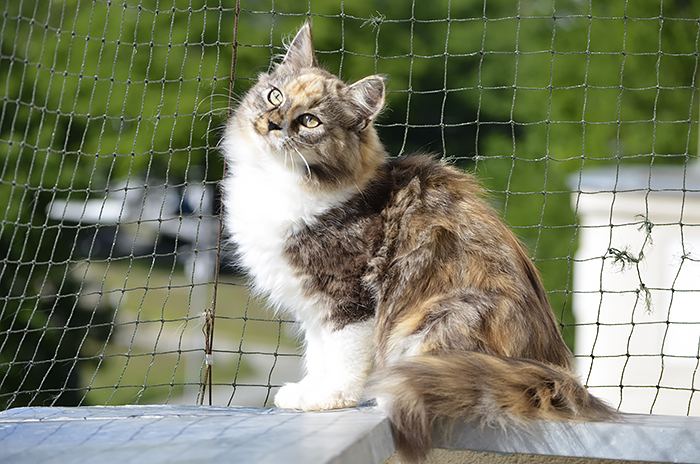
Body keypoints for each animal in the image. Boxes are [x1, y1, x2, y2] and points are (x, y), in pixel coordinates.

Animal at [221, 22, 618, 463]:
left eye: (309, 121)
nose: (273, 123)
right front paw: (308, 392)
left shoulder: (349, 298)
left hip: (438, 318)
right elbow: (318, 354)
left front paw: (329, 400)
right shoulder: (313, 306)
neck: (275, 181)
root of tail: (555, 374)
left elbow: (340, 360)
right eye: (275, 96)